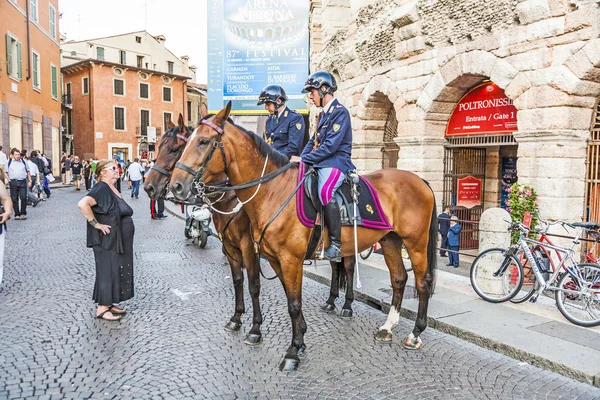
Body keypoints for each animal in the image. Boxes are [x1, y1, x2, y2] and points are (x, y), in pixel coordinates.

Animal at [144, 114, 264, 346]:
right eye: (158, 147)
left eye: (174, 149)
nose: (149, 186)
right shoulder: (230, 244)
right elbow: (238, 280)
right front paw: (236, 318)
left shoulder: (248, 246)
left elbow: (253, 285)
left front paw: (255, 328)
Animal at [169, 103, 436, 372]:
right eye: (185, 143)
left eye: (203, 141)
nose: (176, 186)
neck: (272, 191)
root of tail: (420, 179)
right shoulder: (269, 258)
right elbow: (285, 298)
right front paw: (299, 340)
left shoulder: (286, 259)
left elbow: (290, 302)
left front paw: (291, 350)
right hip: (391, 240)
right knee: (399, 279)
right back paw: (388, 326)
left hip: (415, 243)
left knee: (422, 283)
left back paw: (415, 333)